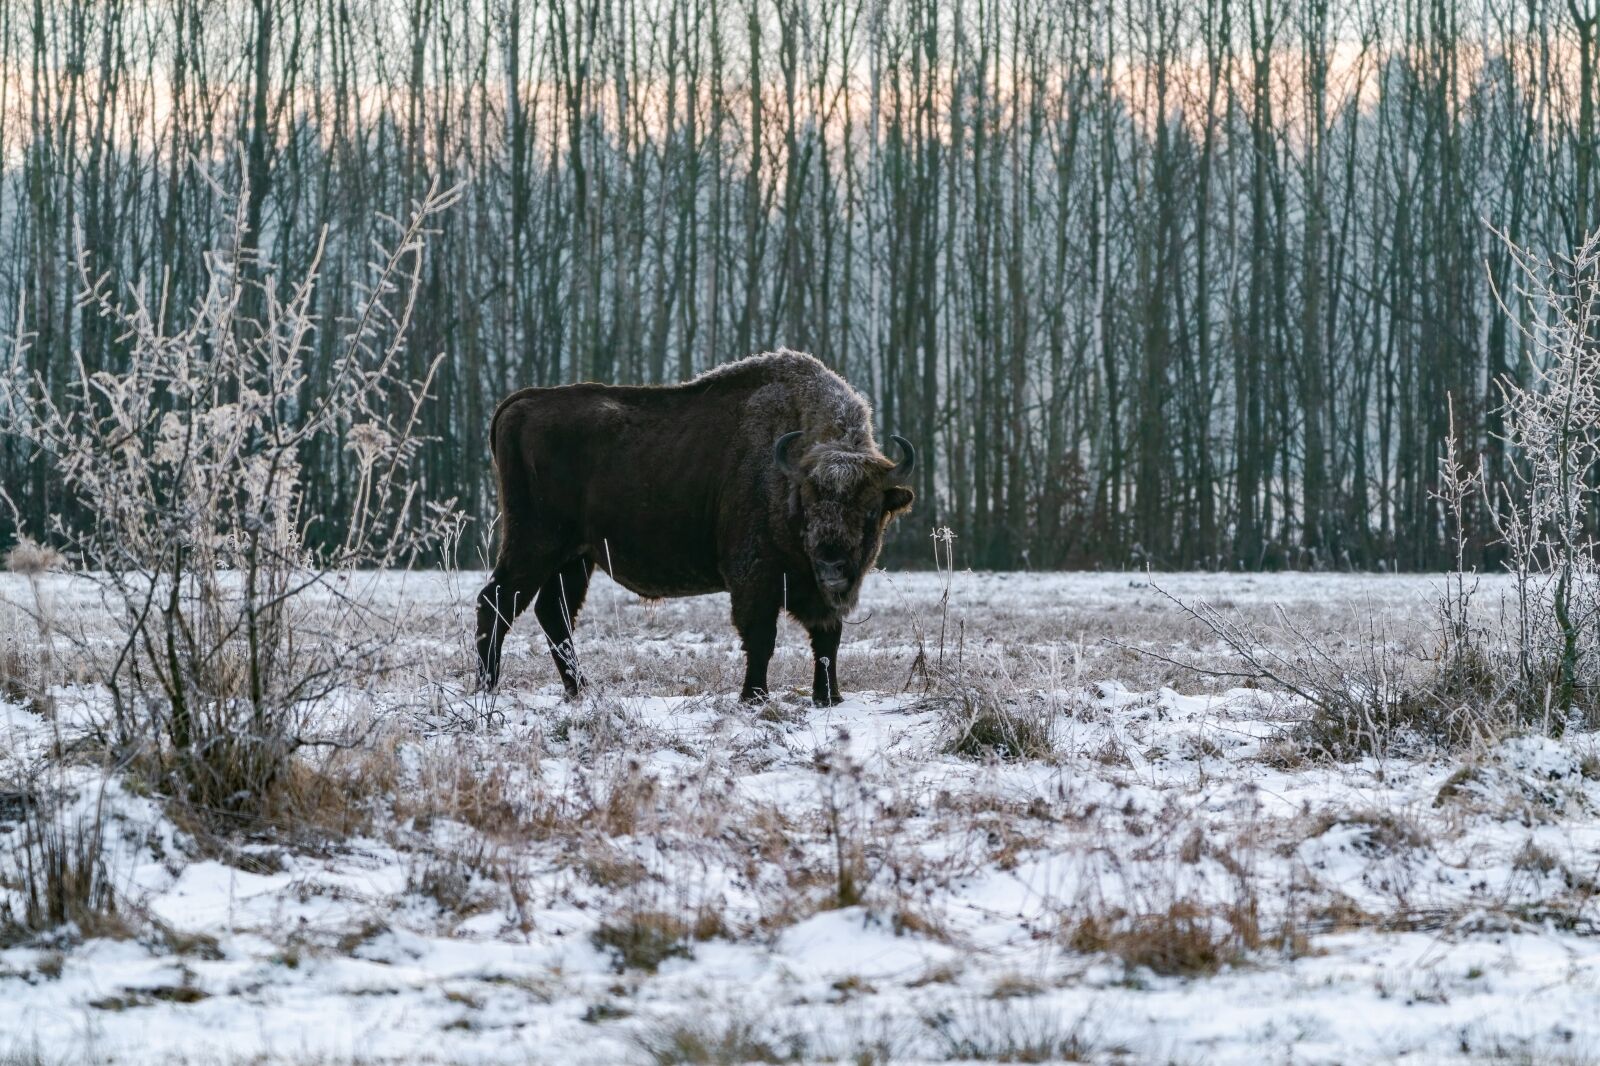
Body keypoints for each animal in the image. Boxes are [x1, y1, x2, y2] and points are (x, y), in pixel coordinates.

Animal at [475, 350, 915, 705]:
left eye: (871, 509)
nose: (832, 566)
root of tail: (522, 401)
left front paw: (829, 698)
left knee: (553, 613)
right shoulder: (754, 579)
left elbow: (827, 640)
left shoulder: (818, 595)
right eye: (806, 503)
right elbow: (761, 638)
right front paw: (754, 696)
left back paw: (580, 690)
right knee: (496, 601)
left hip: (576, 557)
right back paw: (488, 687)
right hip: (535, 544)